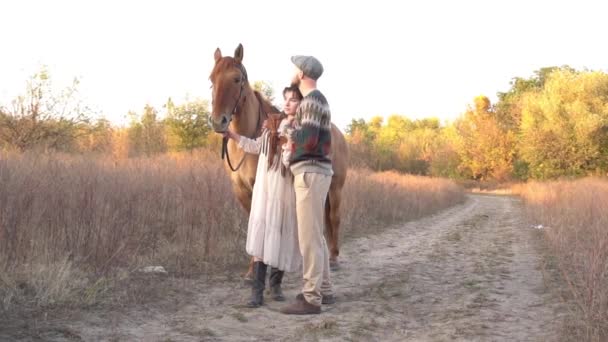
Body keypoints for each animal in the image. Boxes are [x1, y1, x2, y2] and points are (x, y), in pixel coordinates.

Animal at [209, 44, 350, 276]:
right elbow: (253, 222)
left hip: (336, 188)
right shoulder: (241, 191)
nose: (218, 121)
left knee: (334, 218)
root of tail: (339, 134)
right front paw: (254, 268)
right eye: (211, 79)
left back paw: (334, 258)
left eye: (237, 79)